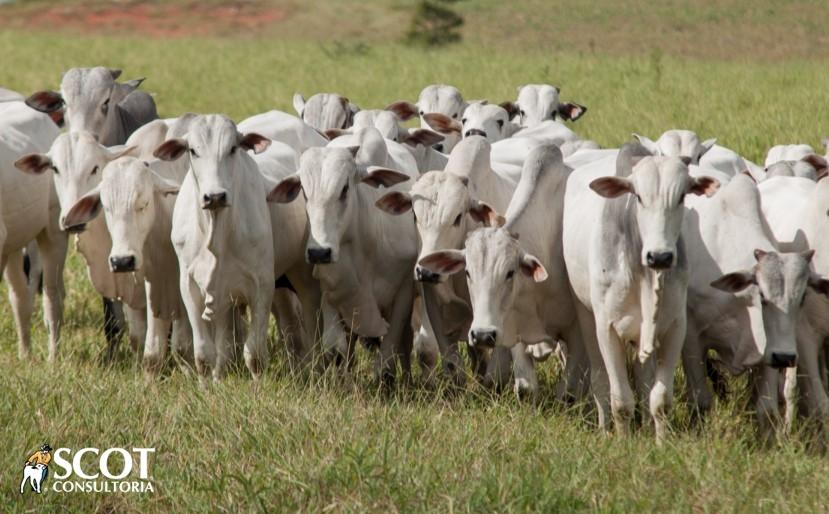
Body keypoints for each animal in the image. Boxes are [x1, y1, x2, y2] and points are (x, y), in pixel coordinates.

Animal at [152, 116, 274, 380]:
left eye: (232, 148)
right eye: (193, 150)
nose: (215, 196)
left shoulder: (263, 285)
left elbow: (255, 355)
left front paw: (258, 387)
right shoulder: (189, 287)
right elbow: (203, 355)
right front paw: (206, 386)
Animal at [564, 143, 720, 440]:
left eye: (682, 196)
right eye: (637, 196)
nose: (659, 256)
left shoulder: (675, 327)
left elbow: (660, 399)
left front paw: (661, 441)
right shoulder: (607, 329)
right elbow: (621, 400)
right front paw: (623, 441)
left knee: (644, 378)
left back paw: (646, 425)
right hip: (586, 316)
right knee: (600, 381)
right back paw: (604, 428)